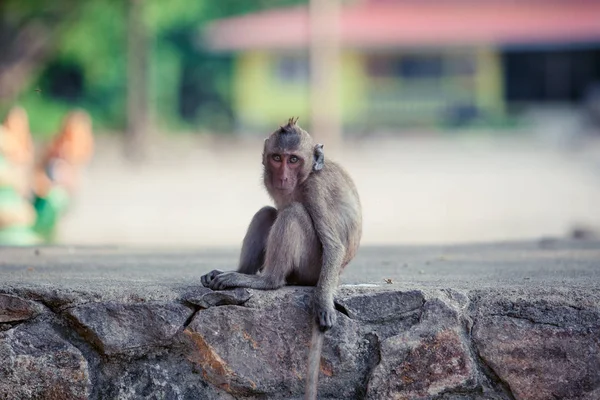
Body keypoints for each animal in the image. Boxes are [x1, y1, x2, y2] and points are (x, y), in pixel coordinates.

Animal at [200, 116, 360, 396]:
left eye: (293, 159)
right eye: (277, 157)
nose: (283, 176)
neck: (307, 175)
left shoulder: (315, 189)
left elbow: (333, 245)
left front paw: (323, 304)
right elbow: (271, 211)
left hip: (311, 269)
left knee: (293, 213)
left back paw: (267, 280)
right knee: (268, 212)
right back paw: (241, 272)